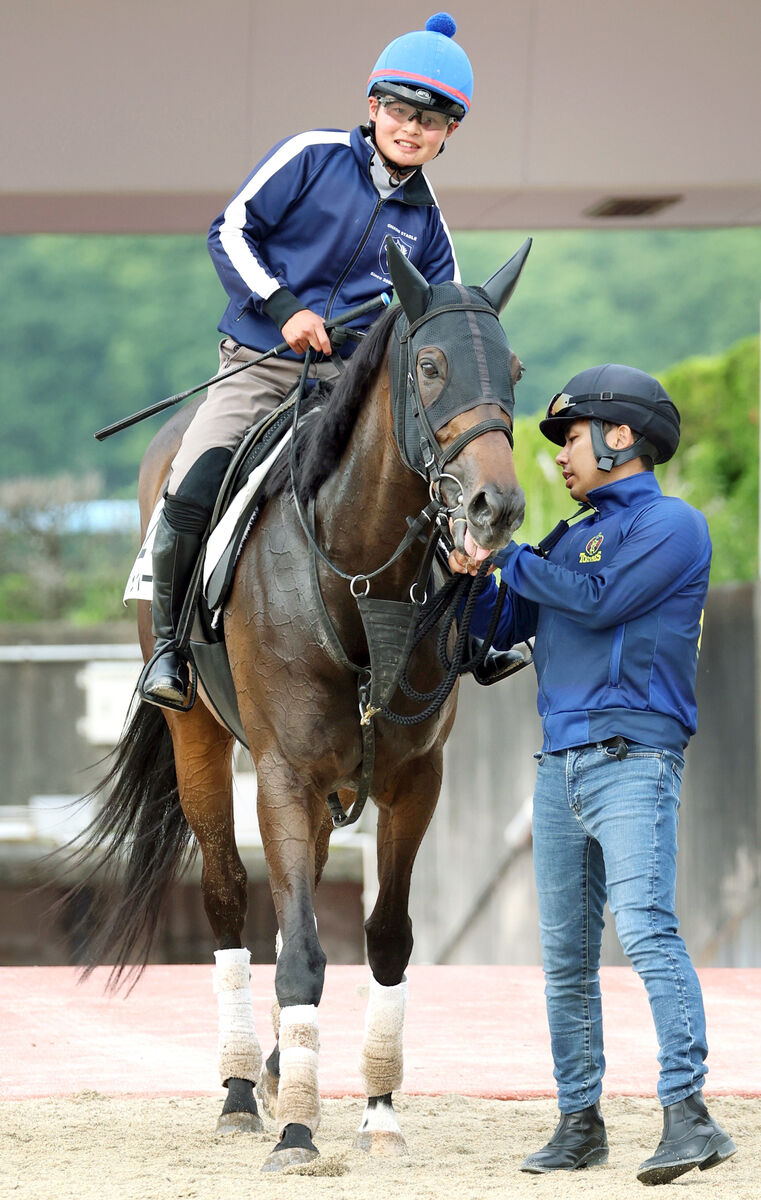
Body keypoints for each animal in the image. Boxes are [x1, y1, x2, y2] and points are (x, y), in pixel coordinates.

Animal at [75, 236, 528, 1171]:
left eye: (514, 368)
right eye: (430, 366)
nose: (494, 506)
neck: (358, 572)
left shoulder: (412, 779)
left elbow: (383, 938)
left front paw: (378, 1111)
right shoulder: (281, 772)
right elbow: (296, 952)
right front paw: (294, 1129)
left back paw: (286, 1066)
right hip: (200, 741)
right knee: (227, 898)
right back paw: (242, 1086)